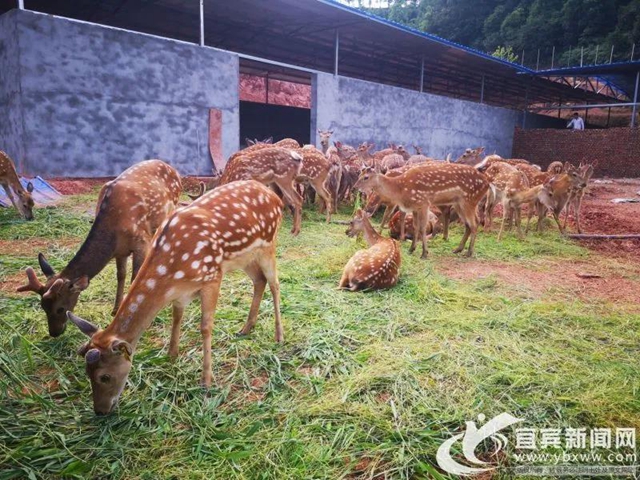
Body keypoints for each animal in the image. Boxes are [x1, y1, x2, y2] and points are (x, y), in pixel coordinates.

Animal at [18, 159, 182, 336]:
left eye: (60, 308)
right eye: (43, 306)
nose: (54, 332)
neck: (114, 228)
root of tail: (171, 168)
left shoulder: (141, 242)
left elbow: (135, 279)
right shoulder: (120, 251)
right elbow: (121, 275)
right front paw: (115, 309)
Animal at [66, 182, 284, 414]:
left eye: (104, 376)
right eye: (86, 373)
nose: (100, 411)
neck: (171, 274)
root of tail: (275, 197)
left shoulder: (212, 277)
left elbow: (205, 327)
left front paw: (206, 381)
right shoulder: (181, 293)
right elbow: (176, 318)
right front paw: (171, 355)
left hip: (268, 245)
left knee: (275, 284)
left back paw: (279, 336)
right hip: (246, 259)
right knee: (259, 280)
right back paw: (246, 328)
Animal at [356, 162, 490, 258]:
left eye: (366, 177)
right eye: (359, 175)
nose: (355, 187)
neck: (400, 189)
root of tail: (487, 184)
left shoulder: (424, 203)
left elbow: (422, 227)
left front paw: (424, 253)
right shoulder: (415, 207)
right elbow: (416, 227)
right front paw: (411, 249)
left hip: (469, 200)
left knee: (474, 224)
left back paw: (469, 252)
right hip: (459, 203)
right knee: (470, 224)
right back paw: (457, 249)